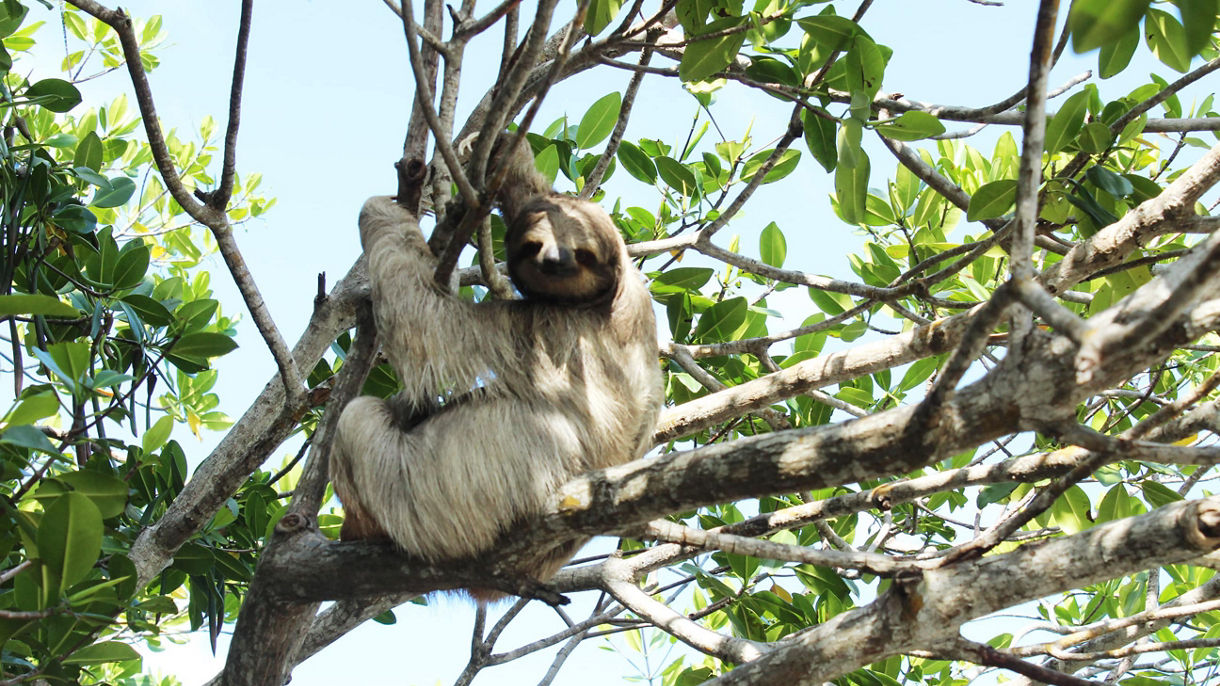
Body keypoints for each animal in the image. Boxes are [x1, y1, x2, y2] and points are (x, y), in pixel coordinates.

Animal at [329, 139, 663, 599]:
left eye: (582, 254)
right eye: (535, 245)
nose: (556, 261)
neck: (607, 300)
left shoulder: (540, 328)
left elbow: (426, 326)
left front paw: (382, 210)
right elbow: (531, 190)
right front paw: (503, 151)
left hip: (436, 508)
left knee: (357, 417)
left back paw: (363, 527)